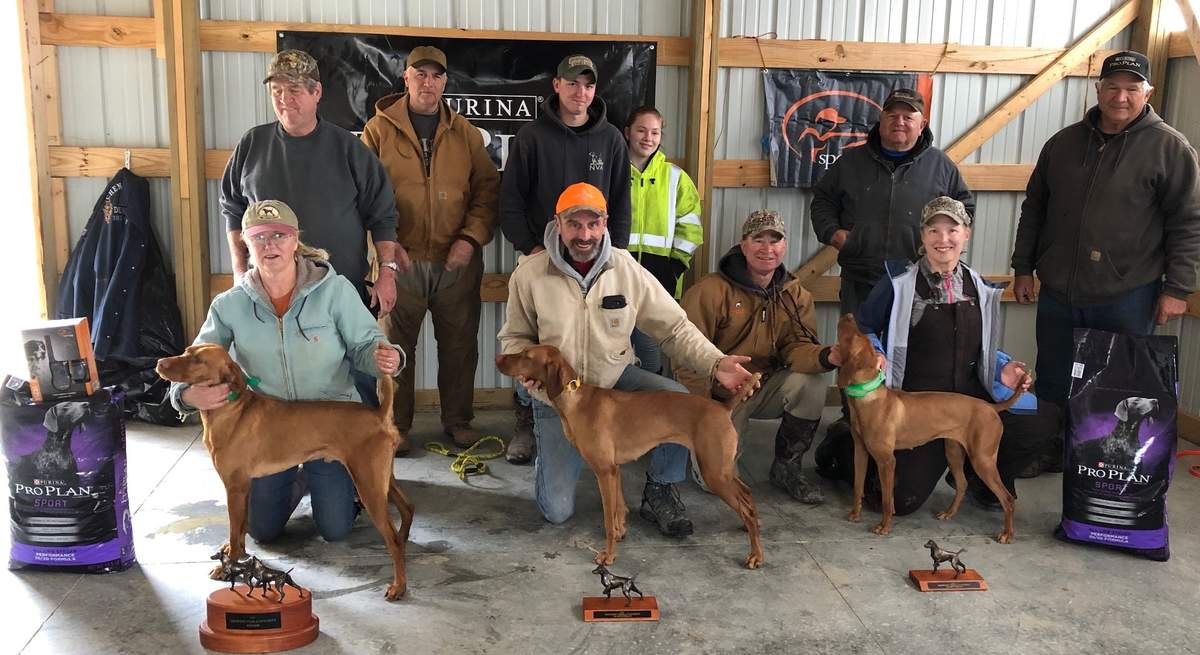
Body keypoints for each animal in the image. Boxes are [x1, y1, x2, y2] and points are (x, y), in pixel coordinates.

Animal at [157, 340, 415, 597]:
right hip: (382, 479)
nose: (160, 363)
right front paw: (235, 552)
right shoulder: (244, 487)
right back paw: (404, 542)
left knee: (392, 538)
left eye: (197, 360)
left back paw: (399, 585)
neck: (233, 410)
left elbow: (233, 529)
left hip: (368, 485)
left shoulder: (234, 487)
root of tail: (380, 414)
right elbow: (240, 530)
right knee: (408, 508)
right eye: (186, 351)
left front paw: (226, 567)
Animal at [492, 343, 763, 568]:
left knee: (746, 506)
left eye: (526, 355)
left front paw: (609, 556)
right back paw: (750, 529)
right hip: (721, 468)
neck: (576, 401)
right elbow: (619, 509)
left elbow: (607, 519)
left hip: (713, 472)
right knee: (747, 495)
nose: (497, 357)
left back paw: (755, 555)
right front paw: (621, 532)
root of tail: (722, 407)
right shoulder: (615, 469)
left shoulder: (604, 470)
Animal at [835, 311, 1032, 539]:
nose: (849, 315)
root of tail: (991, 406)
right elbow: (858, 486)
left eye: (853, 336)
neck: (867, 397)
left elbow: (886, 498)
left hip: (982, 459)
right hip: (954, 452)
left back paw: (1007, 534)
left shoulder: (887, 461)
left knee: (1007, 498)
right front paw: (855, 514)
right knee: (962, 484)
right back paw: (949, 513)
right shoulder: (861, 451)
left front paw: (884, 526)